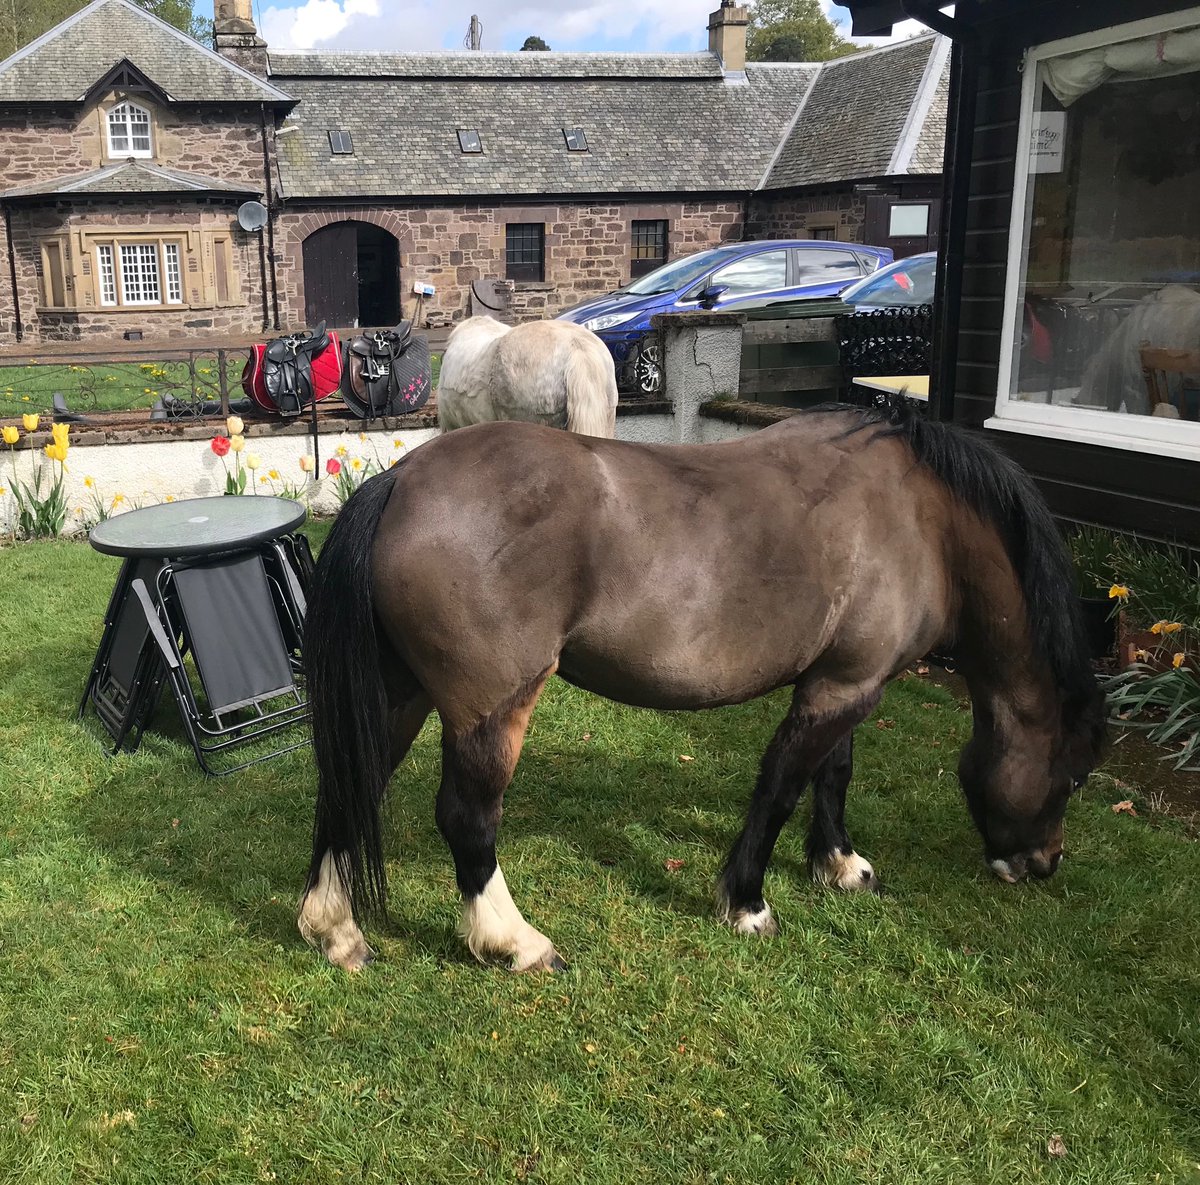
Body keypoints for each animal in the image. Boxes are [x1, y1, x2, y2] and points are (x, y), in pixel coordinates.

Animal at [297, 403, 1107, 973]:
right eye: (1071, 775)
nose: (1044, 863)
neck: (921, 519)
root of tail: (398, 481)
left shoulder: (847, 680)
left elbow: (833, 772)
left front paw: (839, 864)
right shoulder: (843, 687)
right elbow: (782, 784)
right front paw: (747, 902)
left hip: (400, 695)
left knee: (350, 786)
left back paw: (334, 929)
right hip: (489, 710)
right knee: (466, 817)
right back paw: (514, 941)